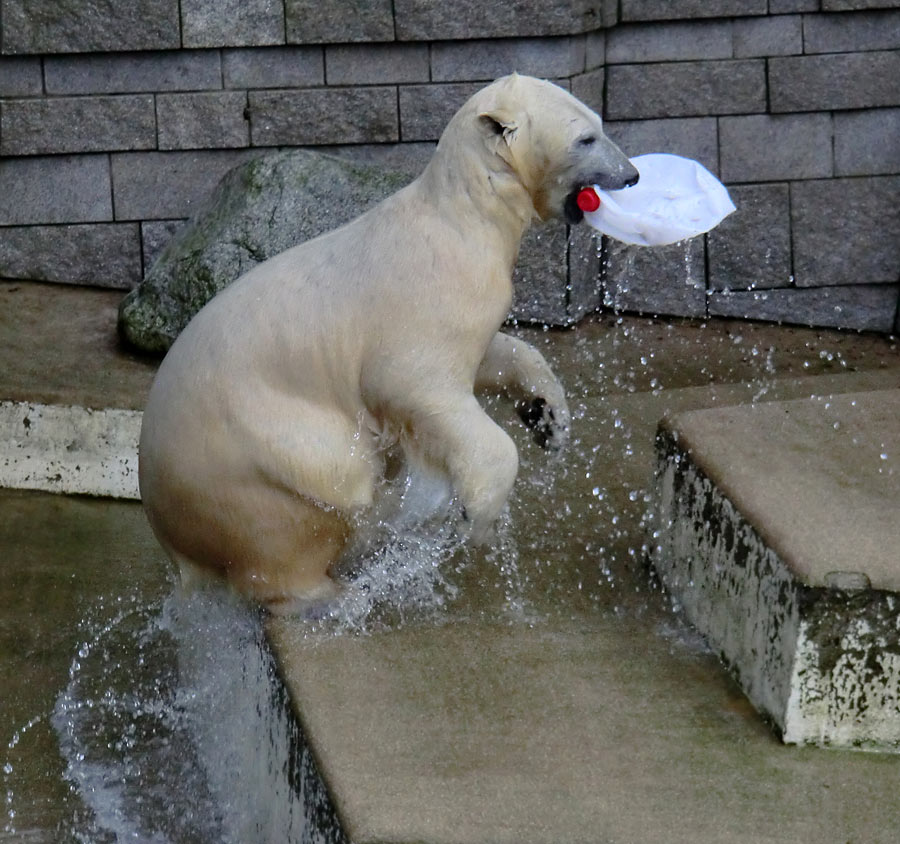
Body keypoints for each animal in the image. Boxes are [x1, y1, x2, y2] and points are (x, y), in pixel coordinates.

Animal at [137, 74, 636, 612]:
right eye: (586, 138)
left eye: (599, 123)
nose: (631, 176)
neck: (465, 217)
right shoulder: (426, 299)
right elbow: (412, 384)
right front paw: (473, 515)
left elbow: (496, 354)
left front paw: (548, 418)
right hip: (253, 455)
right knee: (305, 510)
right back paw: (337, 593)